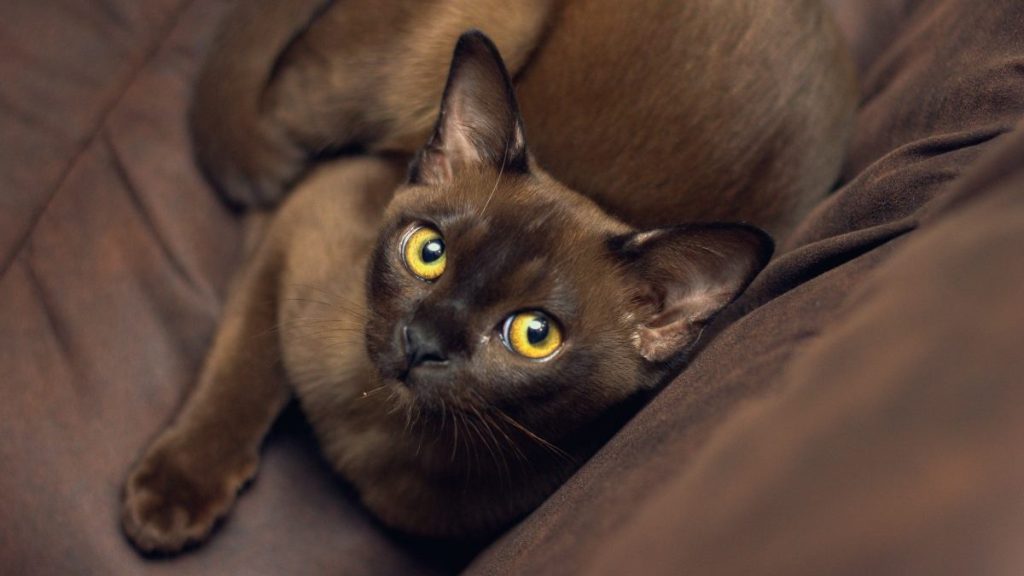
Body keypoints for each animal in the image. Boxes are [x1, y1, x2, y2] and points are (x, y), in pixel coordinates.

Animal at [119, 0, 860, 553]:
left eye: (534, 334)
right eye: (429, 252)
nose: (421, 343)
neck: (370, 421)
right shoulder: (308, 220)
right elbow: (241, 368)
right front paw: (173, 495)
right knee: (273, 141)